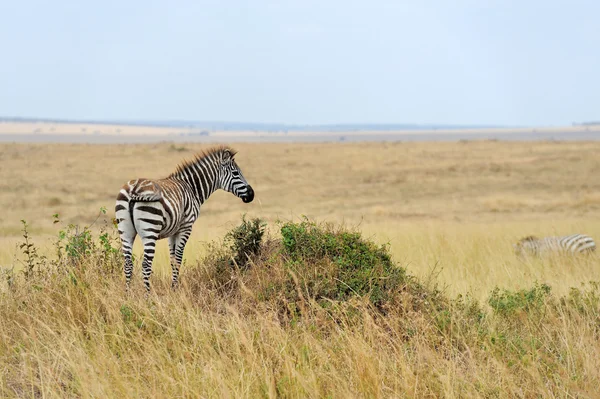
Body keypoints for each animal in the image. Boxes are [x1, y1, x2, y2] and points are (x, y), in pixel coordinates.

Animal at [114, 145, 253, 292]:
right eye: (236, 173)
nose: (252, 194)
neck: (192, 188)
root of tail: (133, 188)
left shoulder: (172, 231)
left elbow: (172, 259)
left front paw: (173, 288)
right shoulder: (186, 227)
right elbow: (178, 259)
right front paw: (175, 289)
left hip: (125, 230)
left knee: (127, 264)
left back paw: (128, 294)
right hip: (150, 228)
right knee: (146, 265)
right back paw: (148, 295)